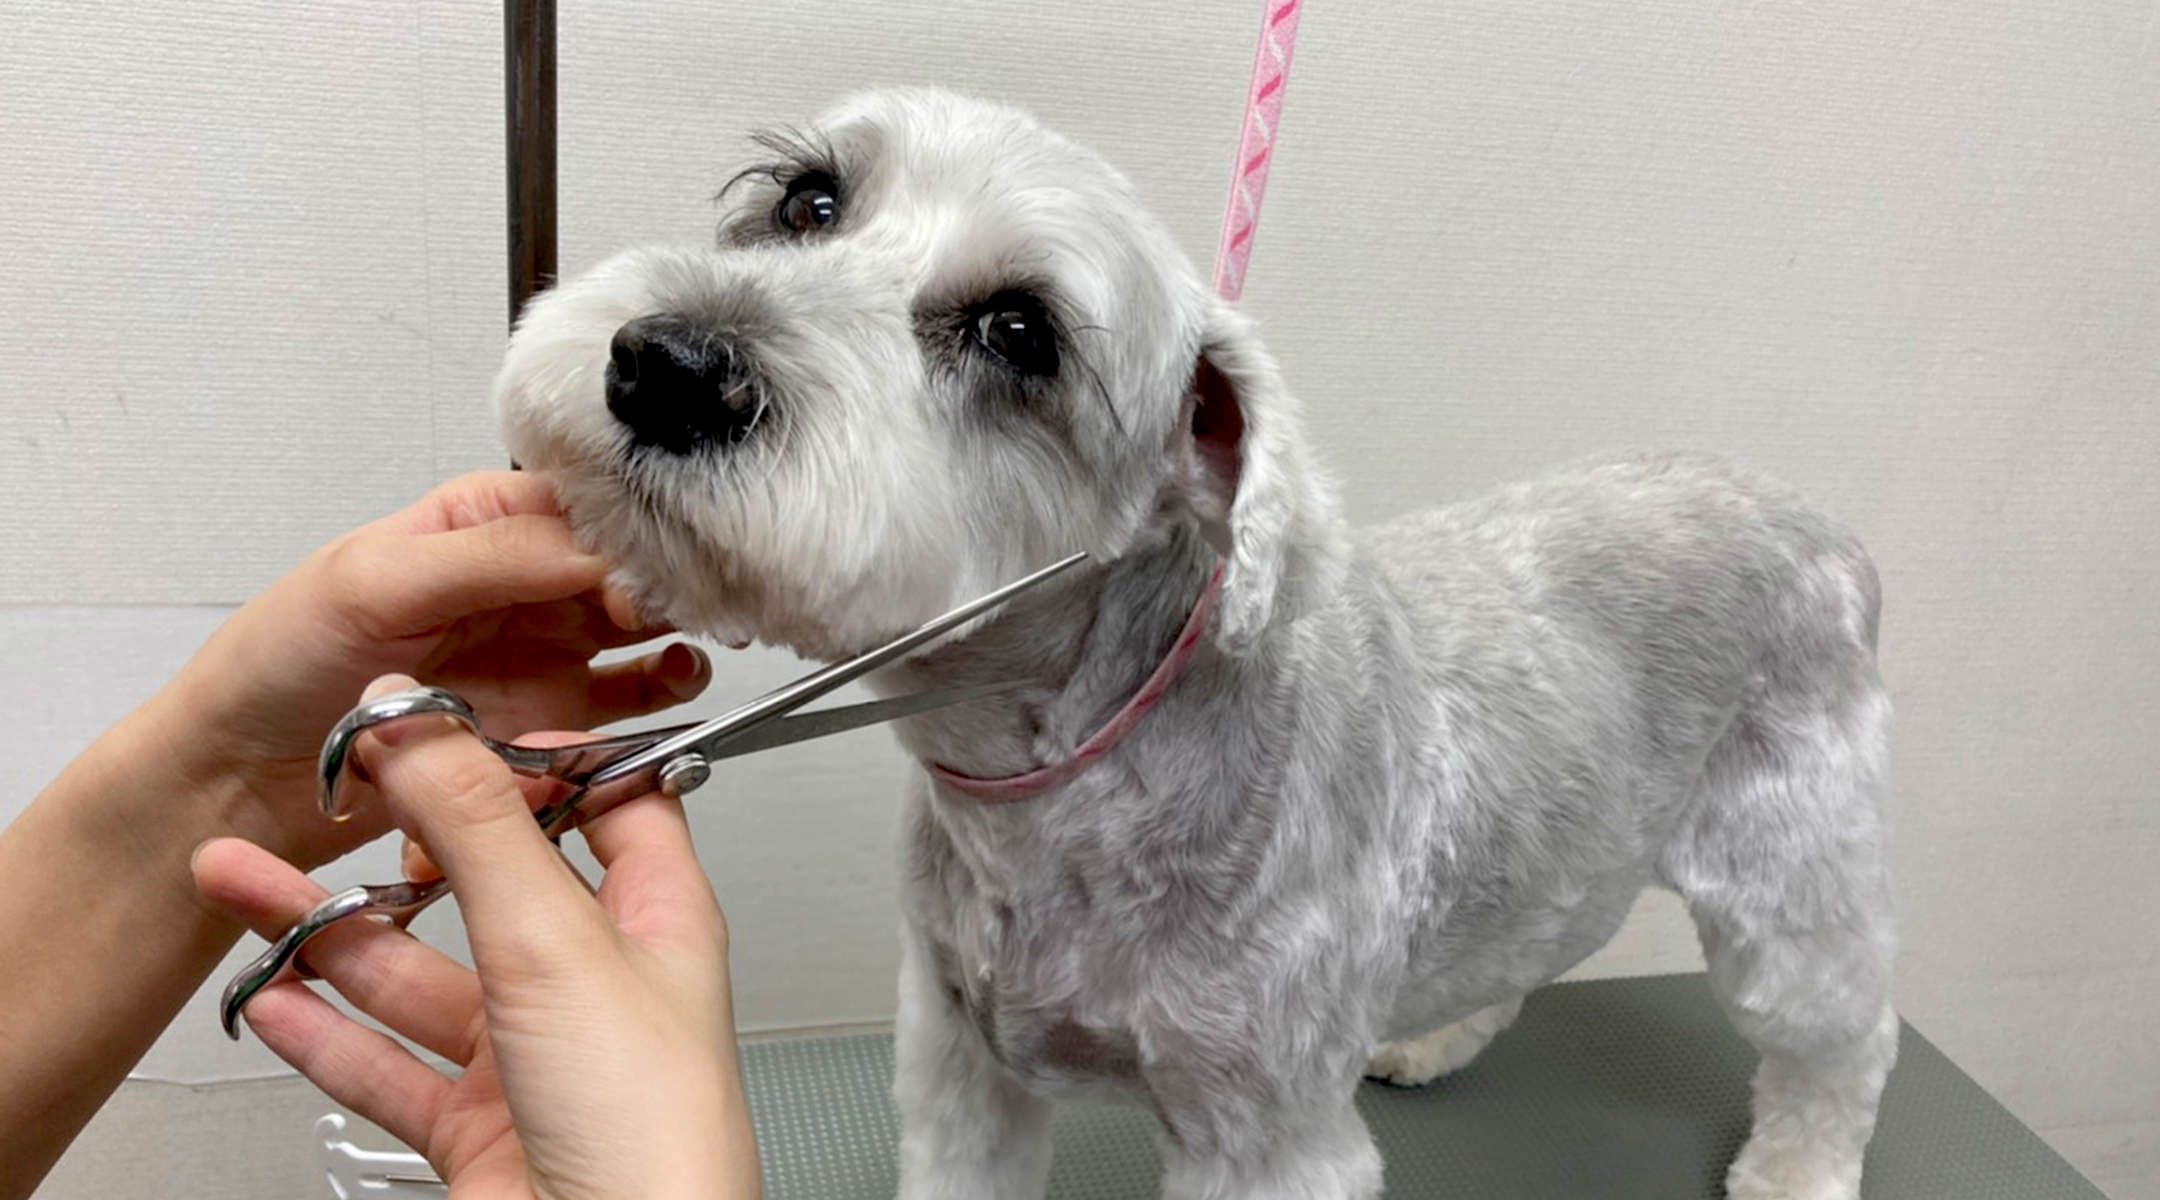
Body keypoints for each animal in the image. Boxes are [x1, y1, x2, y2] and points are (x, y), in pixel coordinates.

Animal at [494, 88, 1899, 1200]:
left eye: (1020, 332)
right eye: (807, 201)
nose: (668, 367)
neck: (1062, 788)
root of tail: (1818, 520)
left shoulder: (1263, 1139)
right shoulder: (961, 1066)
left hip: (1795, 887)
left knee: (1842, 1041)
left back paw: (1800, 1175)